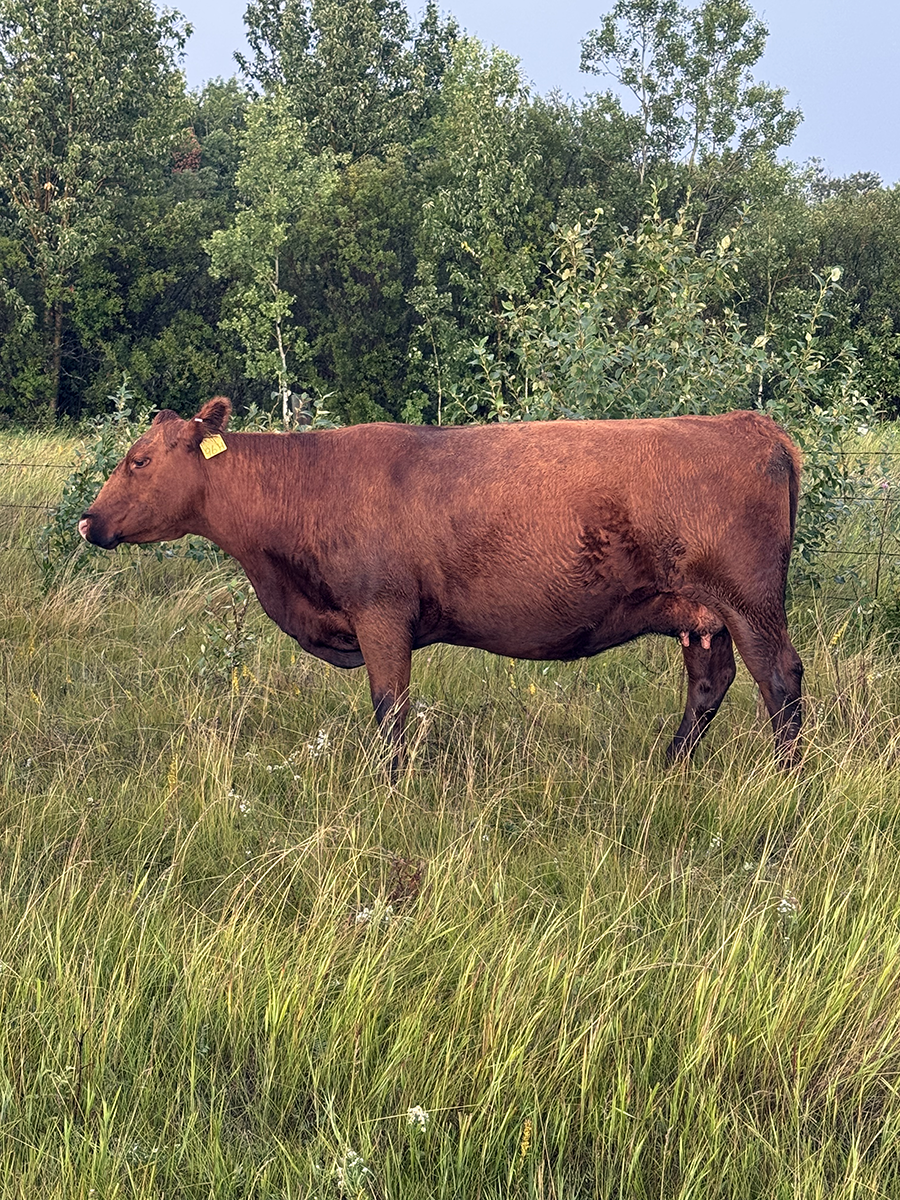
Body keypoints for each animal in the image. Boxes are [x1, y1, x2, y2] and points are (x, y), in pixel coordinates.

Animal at [78, 398, 803, 768]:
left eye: (138, 460)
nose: (88, 521)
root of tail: (750, 424)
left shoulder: (380, 613)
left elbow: (389, 711)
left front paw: (389, 787)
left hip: (750, 601)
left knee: (780, 678)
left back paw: (786, 781)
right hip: (701, 614)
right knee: (709, 684)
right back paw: (669, 766)